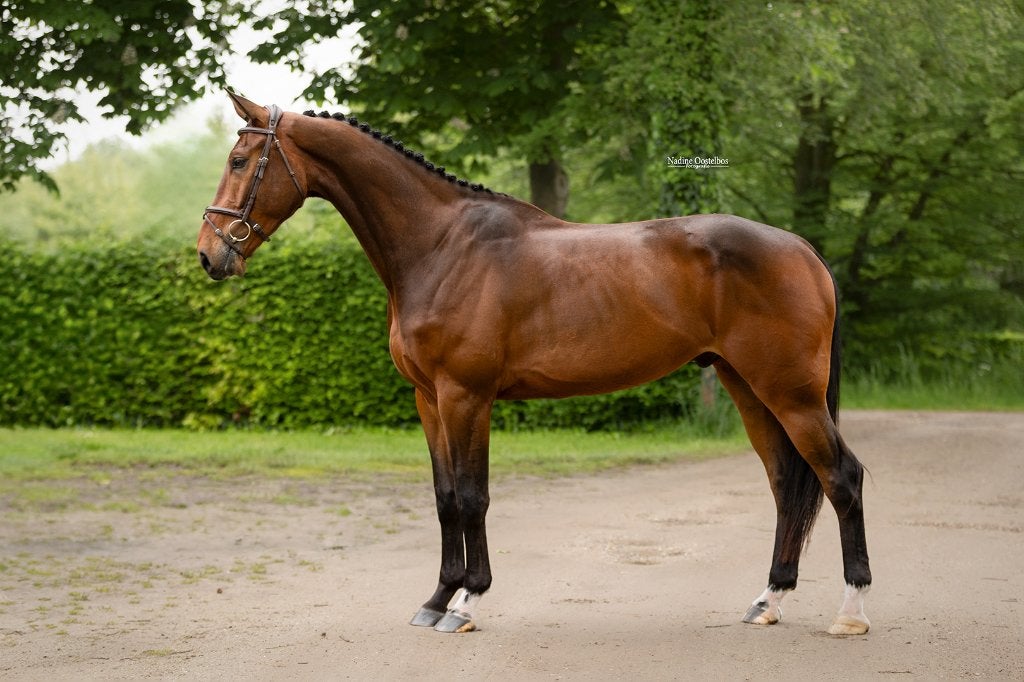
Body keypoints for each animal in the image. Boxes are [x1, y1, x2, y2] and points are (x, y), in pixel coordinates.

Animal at [197, 93, 871, 636]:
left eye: (240, 162)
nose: (210, 255)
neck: (442, 246)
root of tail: (804, 250)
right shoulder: (428, 399)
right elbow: (445, 497)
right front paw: (436, 599)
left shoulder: (466, 395)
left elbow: (473, 496)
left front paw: (468, 603)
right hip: (749, 388)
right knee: (786, 483)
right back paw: (768, 599)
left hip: (791, 394)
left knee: (841, 478)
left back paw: (851, 612)